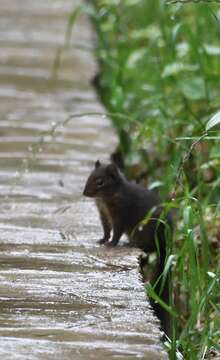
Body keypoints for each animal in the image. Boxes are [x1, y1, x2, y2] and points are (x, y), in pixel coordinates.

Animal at [83, 160, 173, 334]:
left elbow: (116, 232)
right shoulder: (104, 215)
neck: (106, 198)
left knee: (147, 246)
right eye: (89, 176)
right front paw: (102, 240)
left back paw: (131, 243)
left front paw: (111, 244)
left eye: (100, 181)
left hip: (143, 231)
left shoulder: (120, 214)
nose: (84, 193)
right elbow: (106, 230)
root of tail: (164, 245)